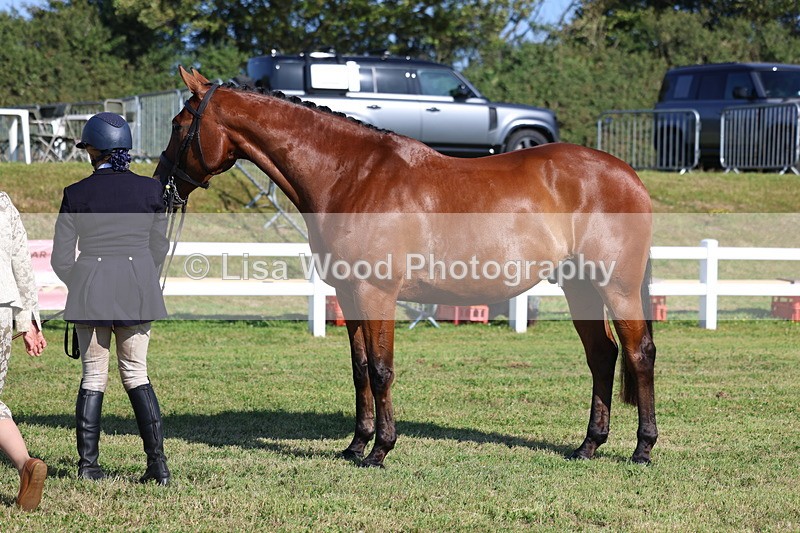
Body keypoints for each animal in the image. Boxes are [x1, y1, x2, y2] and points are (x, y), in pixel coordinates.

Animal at [154, 67, 658, 467]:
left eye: (179, 125)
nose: (163, 185)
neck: (351, 175)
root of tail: (629, 175)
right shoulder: (349, 294)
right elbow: (360, 369)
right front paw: (355, 446)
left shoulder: (377, 293)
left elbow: (381, 370)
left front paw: (381, 450)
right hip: (580, 288)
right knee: (602, 356)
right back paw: (588, 446)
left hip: (616, 287)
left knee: (638, 354)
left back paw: (642, 449)